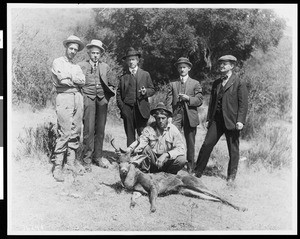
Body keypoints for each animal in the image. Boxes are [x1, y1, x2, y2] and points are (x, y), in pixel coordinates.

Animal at [111, 138, 247, 213]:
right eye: (119, 162)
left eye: (129, 162)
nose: (123, 170)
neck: (133, 180)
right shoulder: (138, 190)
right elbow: (133, 197)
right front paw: (132, 204)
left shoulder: (153, 185)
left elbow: (153, 198)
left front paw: (153, 209)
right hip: (188, 190)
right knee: (213, 198)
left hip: (196, 184)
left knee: (218, 194)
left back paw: (242, 207)